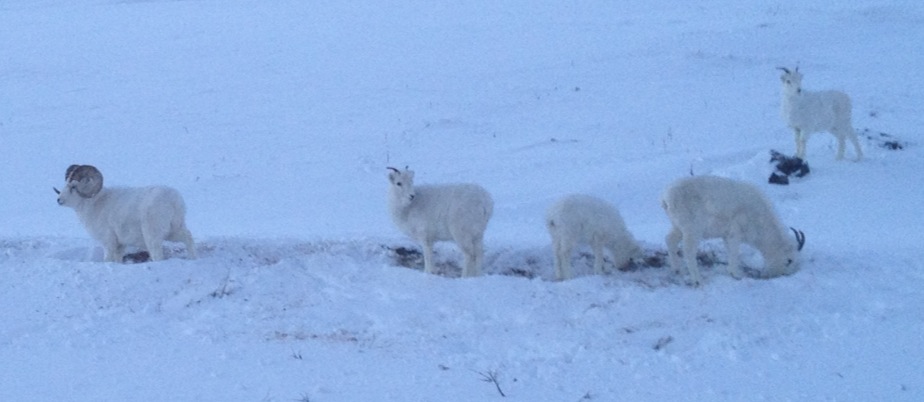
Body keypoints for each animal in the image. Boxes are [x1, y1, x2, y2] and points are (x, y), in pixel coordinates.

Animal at [55, 164, 197, 262]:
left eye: (73, 186)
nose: (59, 200)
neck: (95, 204)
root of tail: (173, 200)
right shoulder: (120, 246)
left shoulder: (108, 242)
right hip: (174, 231)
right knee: (188, 238)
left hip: (152, 237)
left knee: (158, 255)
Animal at [661, 175, 805, 286]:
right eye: (789, 260)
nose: (783, 275)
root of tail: (666, 198)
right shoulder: (734, 234)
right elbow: (734, 252)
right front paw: (736, 275)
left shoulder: (726, 236)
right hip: (692, 231)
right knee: (689, 252)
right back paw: (698, 281)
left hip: (678, 228)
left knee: (669, 240)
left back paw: (677, 270)